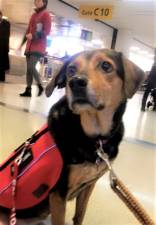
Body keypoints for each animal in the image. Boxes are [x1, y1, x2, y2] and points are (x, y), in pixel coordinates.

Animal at [0, 49, 145, 225]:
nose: (76, 82)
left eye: (106, 65)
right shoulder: (59, 194)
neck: (94, 137)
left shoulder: (89, 185)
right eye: (70, 70)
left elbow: (79, 215)